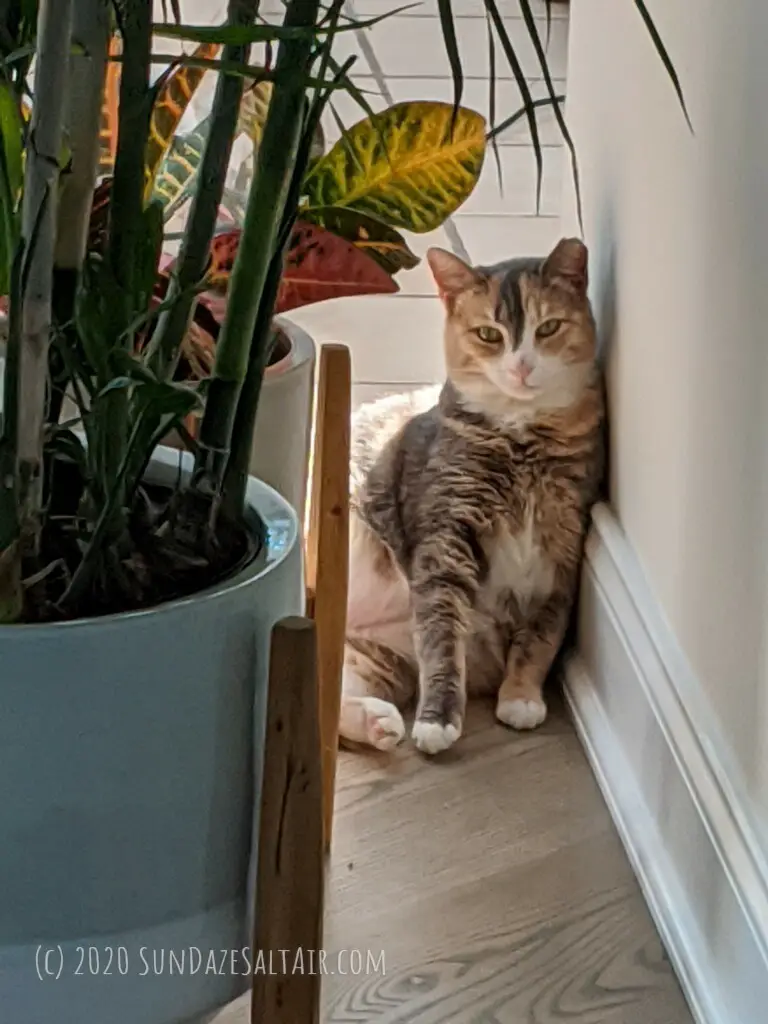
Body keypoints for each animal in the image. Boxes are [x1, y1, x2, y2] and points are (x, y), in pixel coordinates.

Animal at [342, 237, 606, 753]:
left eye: (548, 328)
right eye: (488, 335)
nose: (520, 366)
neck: (521, 446)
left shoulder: (563, 554)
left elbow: (541, 637)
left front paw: (521, 698)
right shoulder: (444, 537)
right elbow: (442, 637)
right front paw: (437, 720)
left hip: (371, 658)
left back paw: (379, 722)